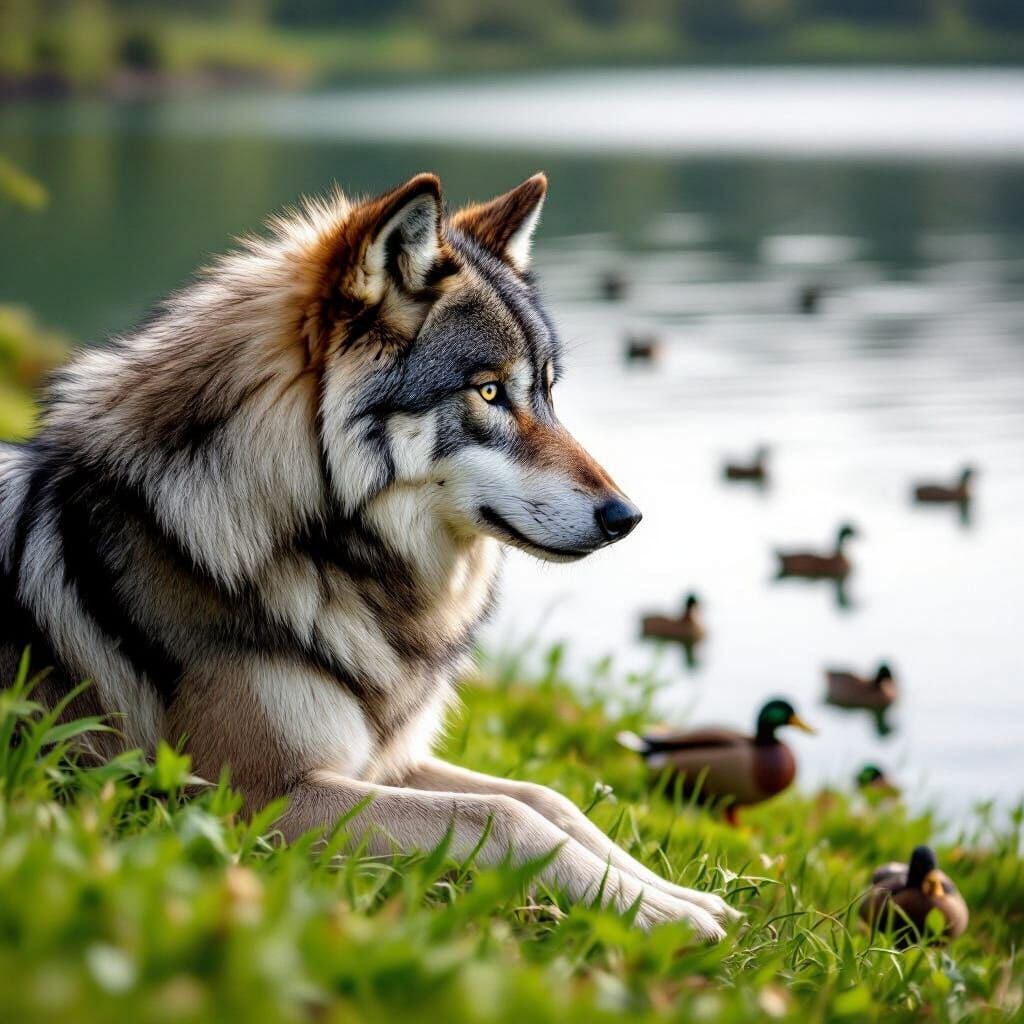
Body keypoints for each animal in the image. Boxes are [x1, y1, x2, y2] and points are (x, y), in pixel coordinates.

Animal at [0, 172, 733, 938]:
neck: (323, 553)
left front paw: (678, 895)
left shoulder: (383, 761)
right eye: (490, 391)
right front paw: (666, 918)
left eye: (548, 392)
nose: (628, 517)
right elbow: (505, 815)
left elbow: (547, 798)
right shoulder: (246, 798)